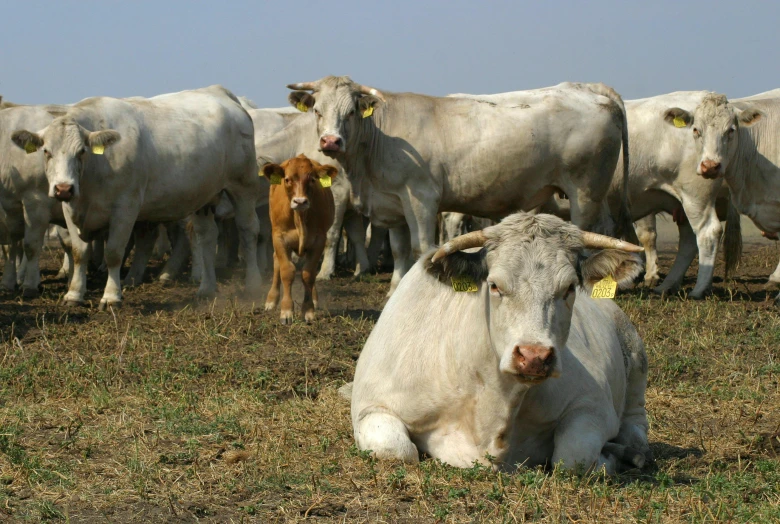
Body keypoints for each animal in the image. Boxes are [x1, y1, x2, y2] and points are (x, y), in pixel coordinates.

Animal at [11, 85, 262, 308]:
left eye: (81, 151)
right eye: (46, 151)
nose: (64, 188)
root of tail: (219, 91)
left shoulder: (126, 207)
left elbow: (114, 252)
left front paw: (111, 297)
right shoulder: (71, 208)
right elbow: (79, 252)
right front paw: (74, 295)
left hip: (243, 185)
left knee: (248, 230)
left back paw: (253, 285)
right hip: (205, 195)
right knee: (207, 235)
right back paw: (207, 288)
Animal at [264, 152, 336, 324]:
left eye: (312, 179)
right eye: (287, 179)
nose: (300, 201)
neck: (300, 217)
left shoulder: (318, 240)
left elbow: (308, 274)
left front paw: (308, 310)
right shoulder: (279, 238)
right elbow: (287, 271)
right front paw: (286, 311)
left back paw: (315, 299)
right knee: (276, 262)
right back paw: (271, 300)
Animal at [350, 213, 648, 474]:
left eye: (569, 288)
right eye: (494, 285)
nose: (534, 357)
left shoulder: (593, 404)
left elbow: (574, 456)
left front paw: (609, 458)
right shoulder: (371, 405)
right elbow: (396, 451)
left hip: (635, 355)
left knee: (635, 424)